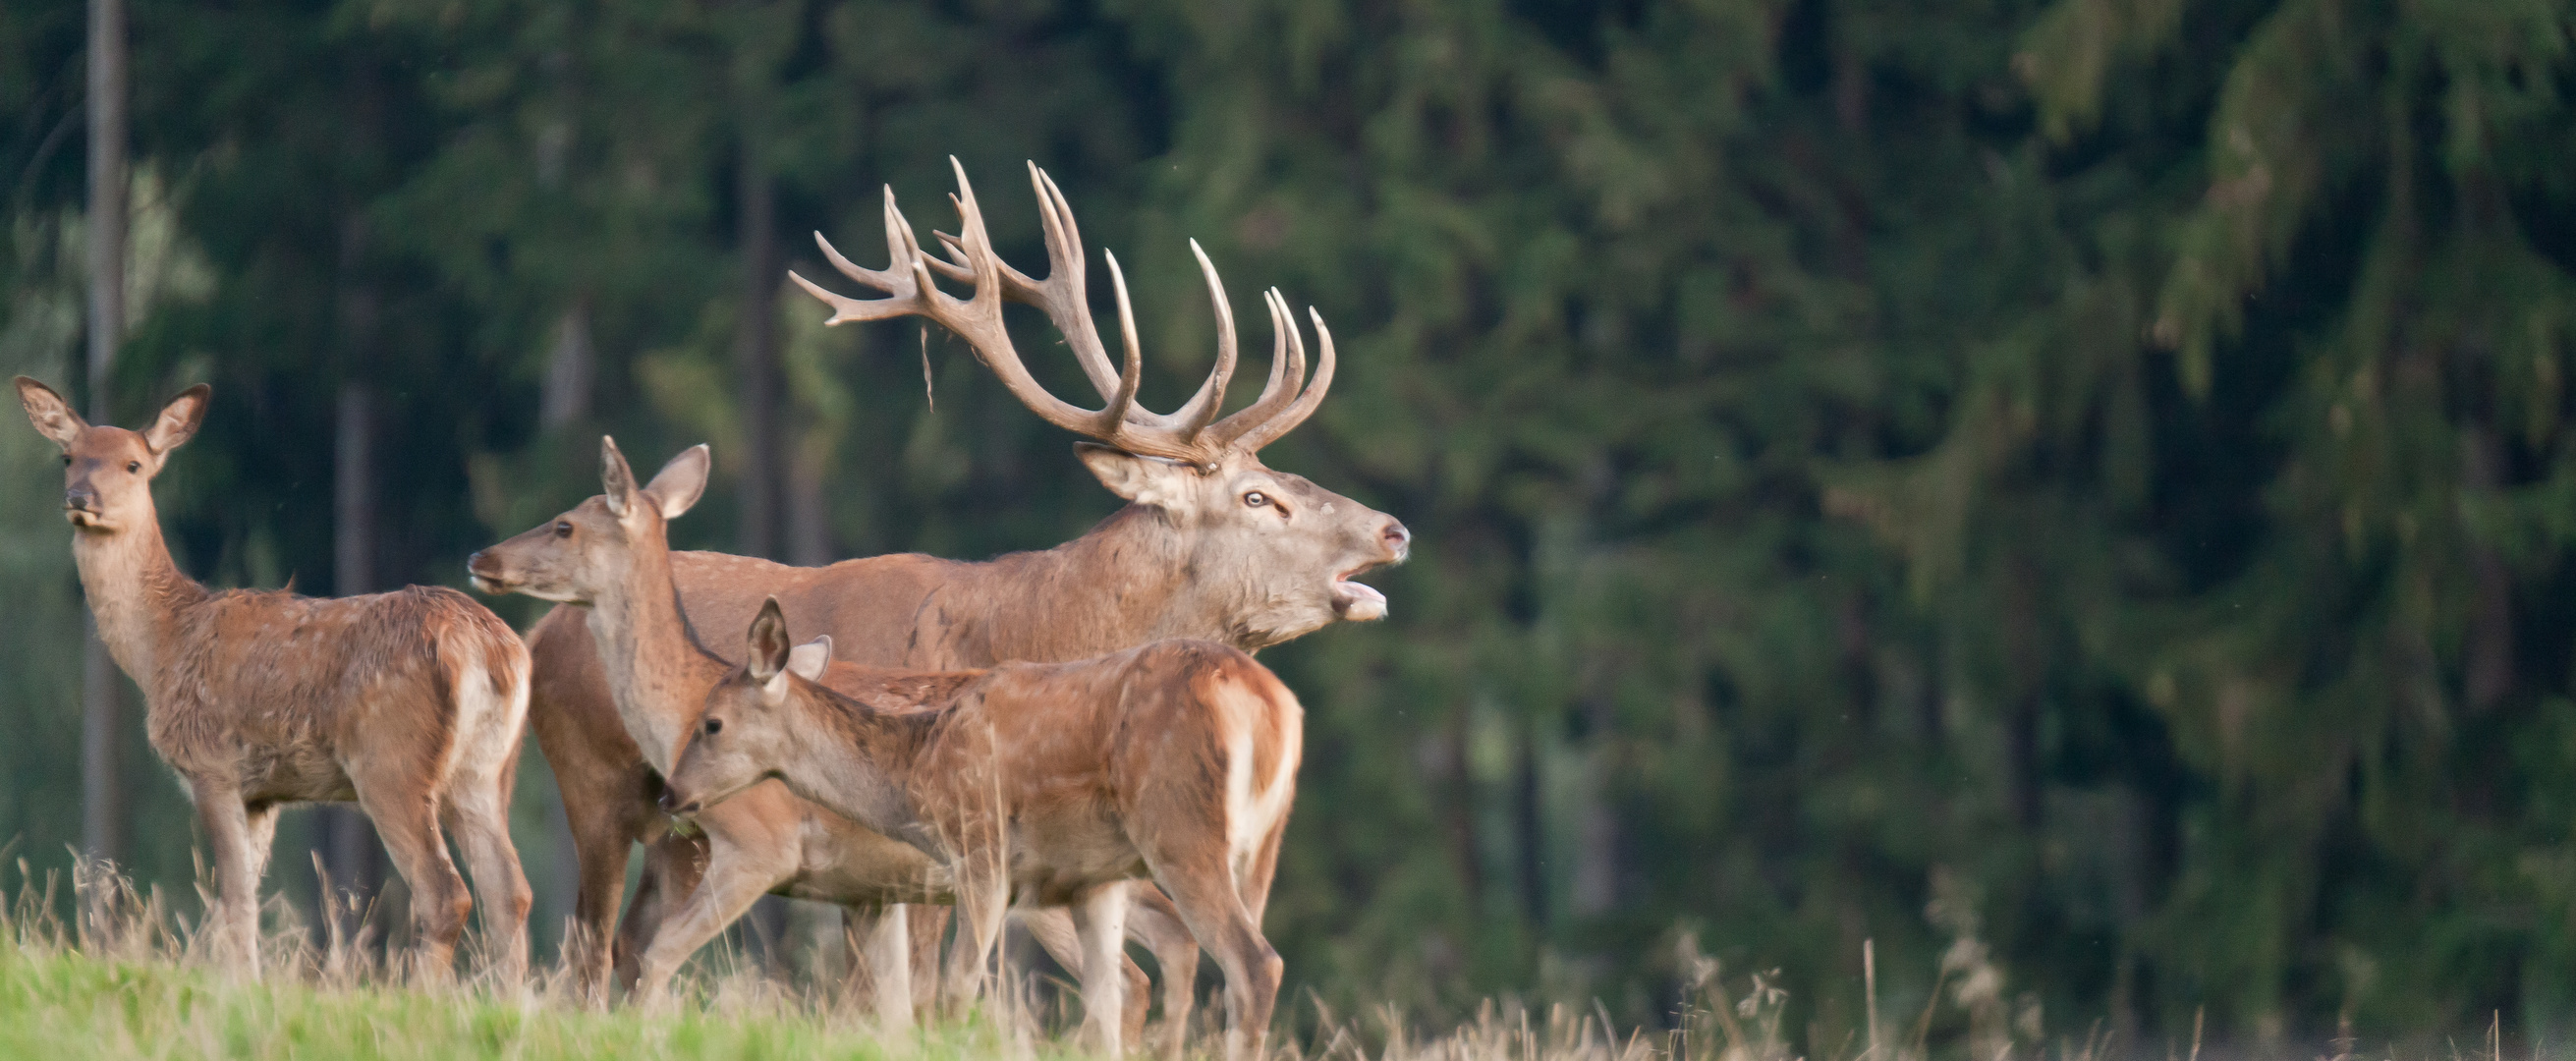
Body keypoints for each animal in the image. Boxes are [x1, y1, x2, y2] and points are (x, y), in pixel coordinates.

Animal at [17, 375, 532, 983]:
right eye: (68, 457)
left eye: (134, 464)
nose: (80, 499)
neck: (163, 646)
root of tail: (489, 649)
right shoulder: (263, 794)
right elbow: (241, 896)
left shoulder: (210, 762)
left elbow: (235, 897)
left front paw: (238, 985)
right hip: (485, 770)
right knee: (510, 892)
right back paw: (513, 999)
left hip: (392, 762)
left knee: (445, 892)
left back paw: (424, 994)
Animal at [463, 440, 1185, 1034]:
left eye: (565, 523)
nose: (482, 557)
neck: (687, 700)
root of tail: (534, 637)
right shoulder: (858, 884)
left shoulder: (763, 846)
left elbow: (662, 955)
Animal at [674, 605, 1298, 1061]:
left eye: (711, 723)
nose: (670, 794)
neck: (921, 768)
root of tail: (1270, 705)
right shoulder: (1095, 880)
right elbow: (1104, 1007)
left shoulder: (980, 846)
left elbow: (954, 991)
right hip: (1263, 844)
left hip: (1181, 830)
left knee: (1255, 963)